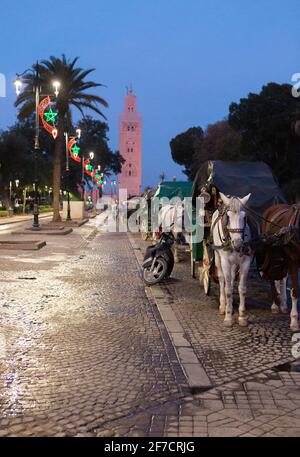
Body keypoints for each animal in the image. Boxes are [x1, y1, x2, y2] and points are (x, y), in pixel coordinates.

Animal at [211, 191, 253, 326]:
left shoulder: (246, 261)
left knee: (232, 277)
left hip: (235, 263)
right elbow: (228, 289)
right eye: (228, 217)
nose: (238, 243)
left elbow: (242, 288)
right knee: (222, 279)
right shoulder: (225, 261)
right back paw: (223, 305)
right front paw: (228, 317)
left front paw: (242, 316)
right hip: (218, 257)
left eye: (244, 217)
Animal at [262, 204, 300, 332]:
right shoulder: (294, 261)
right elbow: (295, 290)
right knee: (271, 277)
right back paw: (275, 305)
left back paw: (283, 304)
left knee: (282, 279)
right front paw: (294, 321)